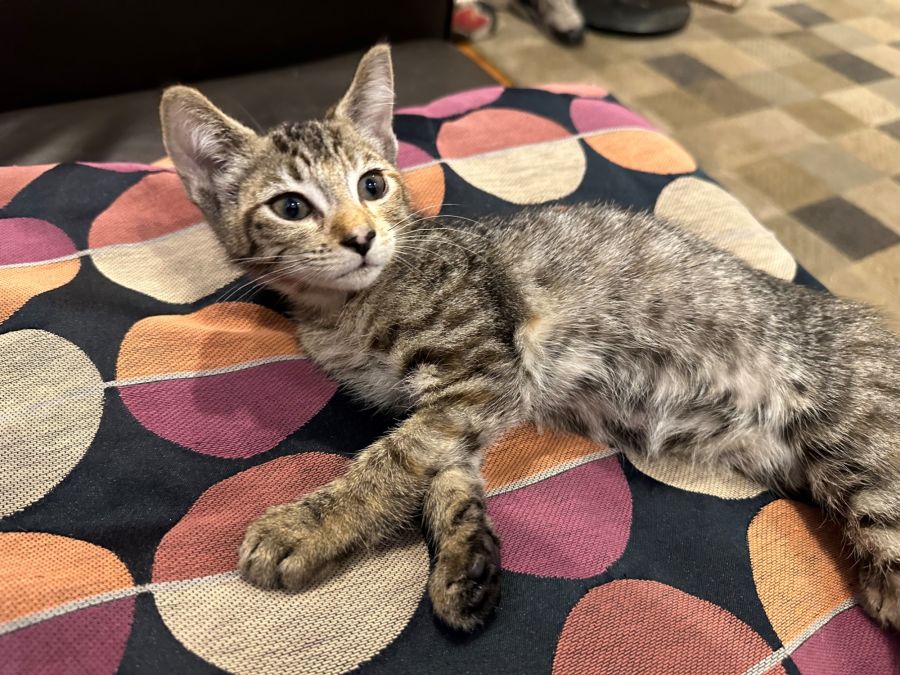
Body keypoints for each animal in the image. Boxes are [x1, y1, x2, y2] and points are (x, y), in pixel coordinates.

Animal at [160, 44, 900, 633]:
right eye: (290, 206)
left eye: (371, 184)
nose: (362, 237)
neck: (345, 312)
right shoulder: (454, 402)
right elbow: (442, 471)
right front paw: (466, 561)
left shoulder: (486, 368)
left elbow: (393, 459)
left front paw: (307, 526)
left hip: (864, 453)